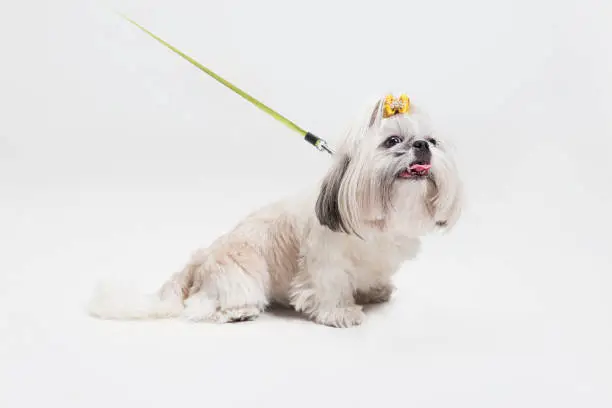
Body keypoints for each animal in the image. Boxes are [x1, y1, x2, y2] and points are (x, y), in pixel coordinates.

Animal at [88, 93, 464, 328]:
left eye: (432, 141)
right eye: (392, 142)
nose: (422, 146)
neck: (378, 219)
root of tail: (200, 261)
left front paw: (374, 291)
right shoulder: (325, 262)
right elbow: (329, 287)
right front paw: (340, 312)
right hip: (243, 276)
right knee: (199, 306)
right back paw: (236, 313)